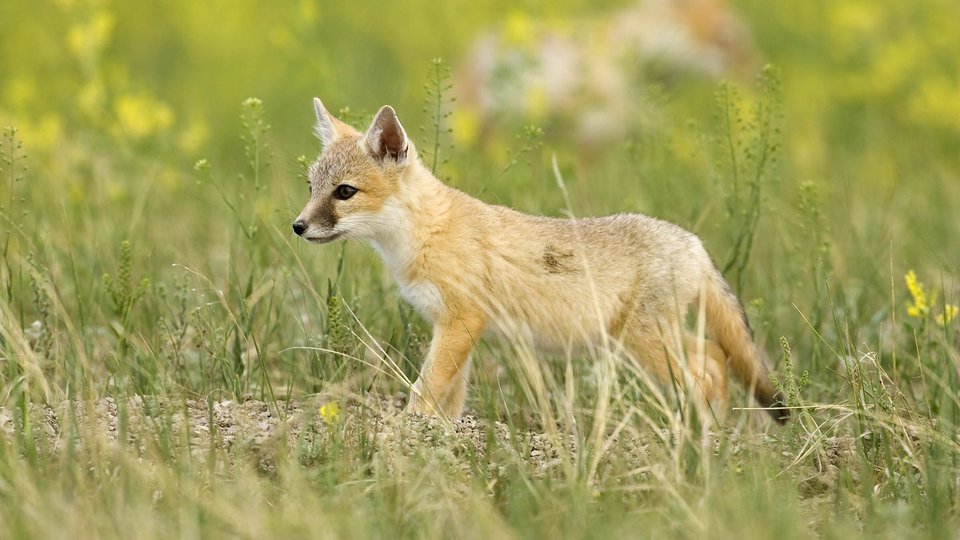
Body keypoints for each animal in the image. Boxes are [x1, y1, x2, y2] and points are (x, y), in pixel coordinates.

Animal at [293, 98, 788, 424]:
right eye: (312, 187)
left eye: (344, 192)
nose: (297, 226)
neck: (427, 232)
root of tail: (692, 242)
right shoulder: (452, 328)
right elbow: (450, 396)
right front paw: (441, 435)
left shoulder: (461, 322)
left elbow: (427, 387)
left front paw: (408, 431)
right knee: (717, 358)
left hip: (645, 343)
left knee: (710, 366)